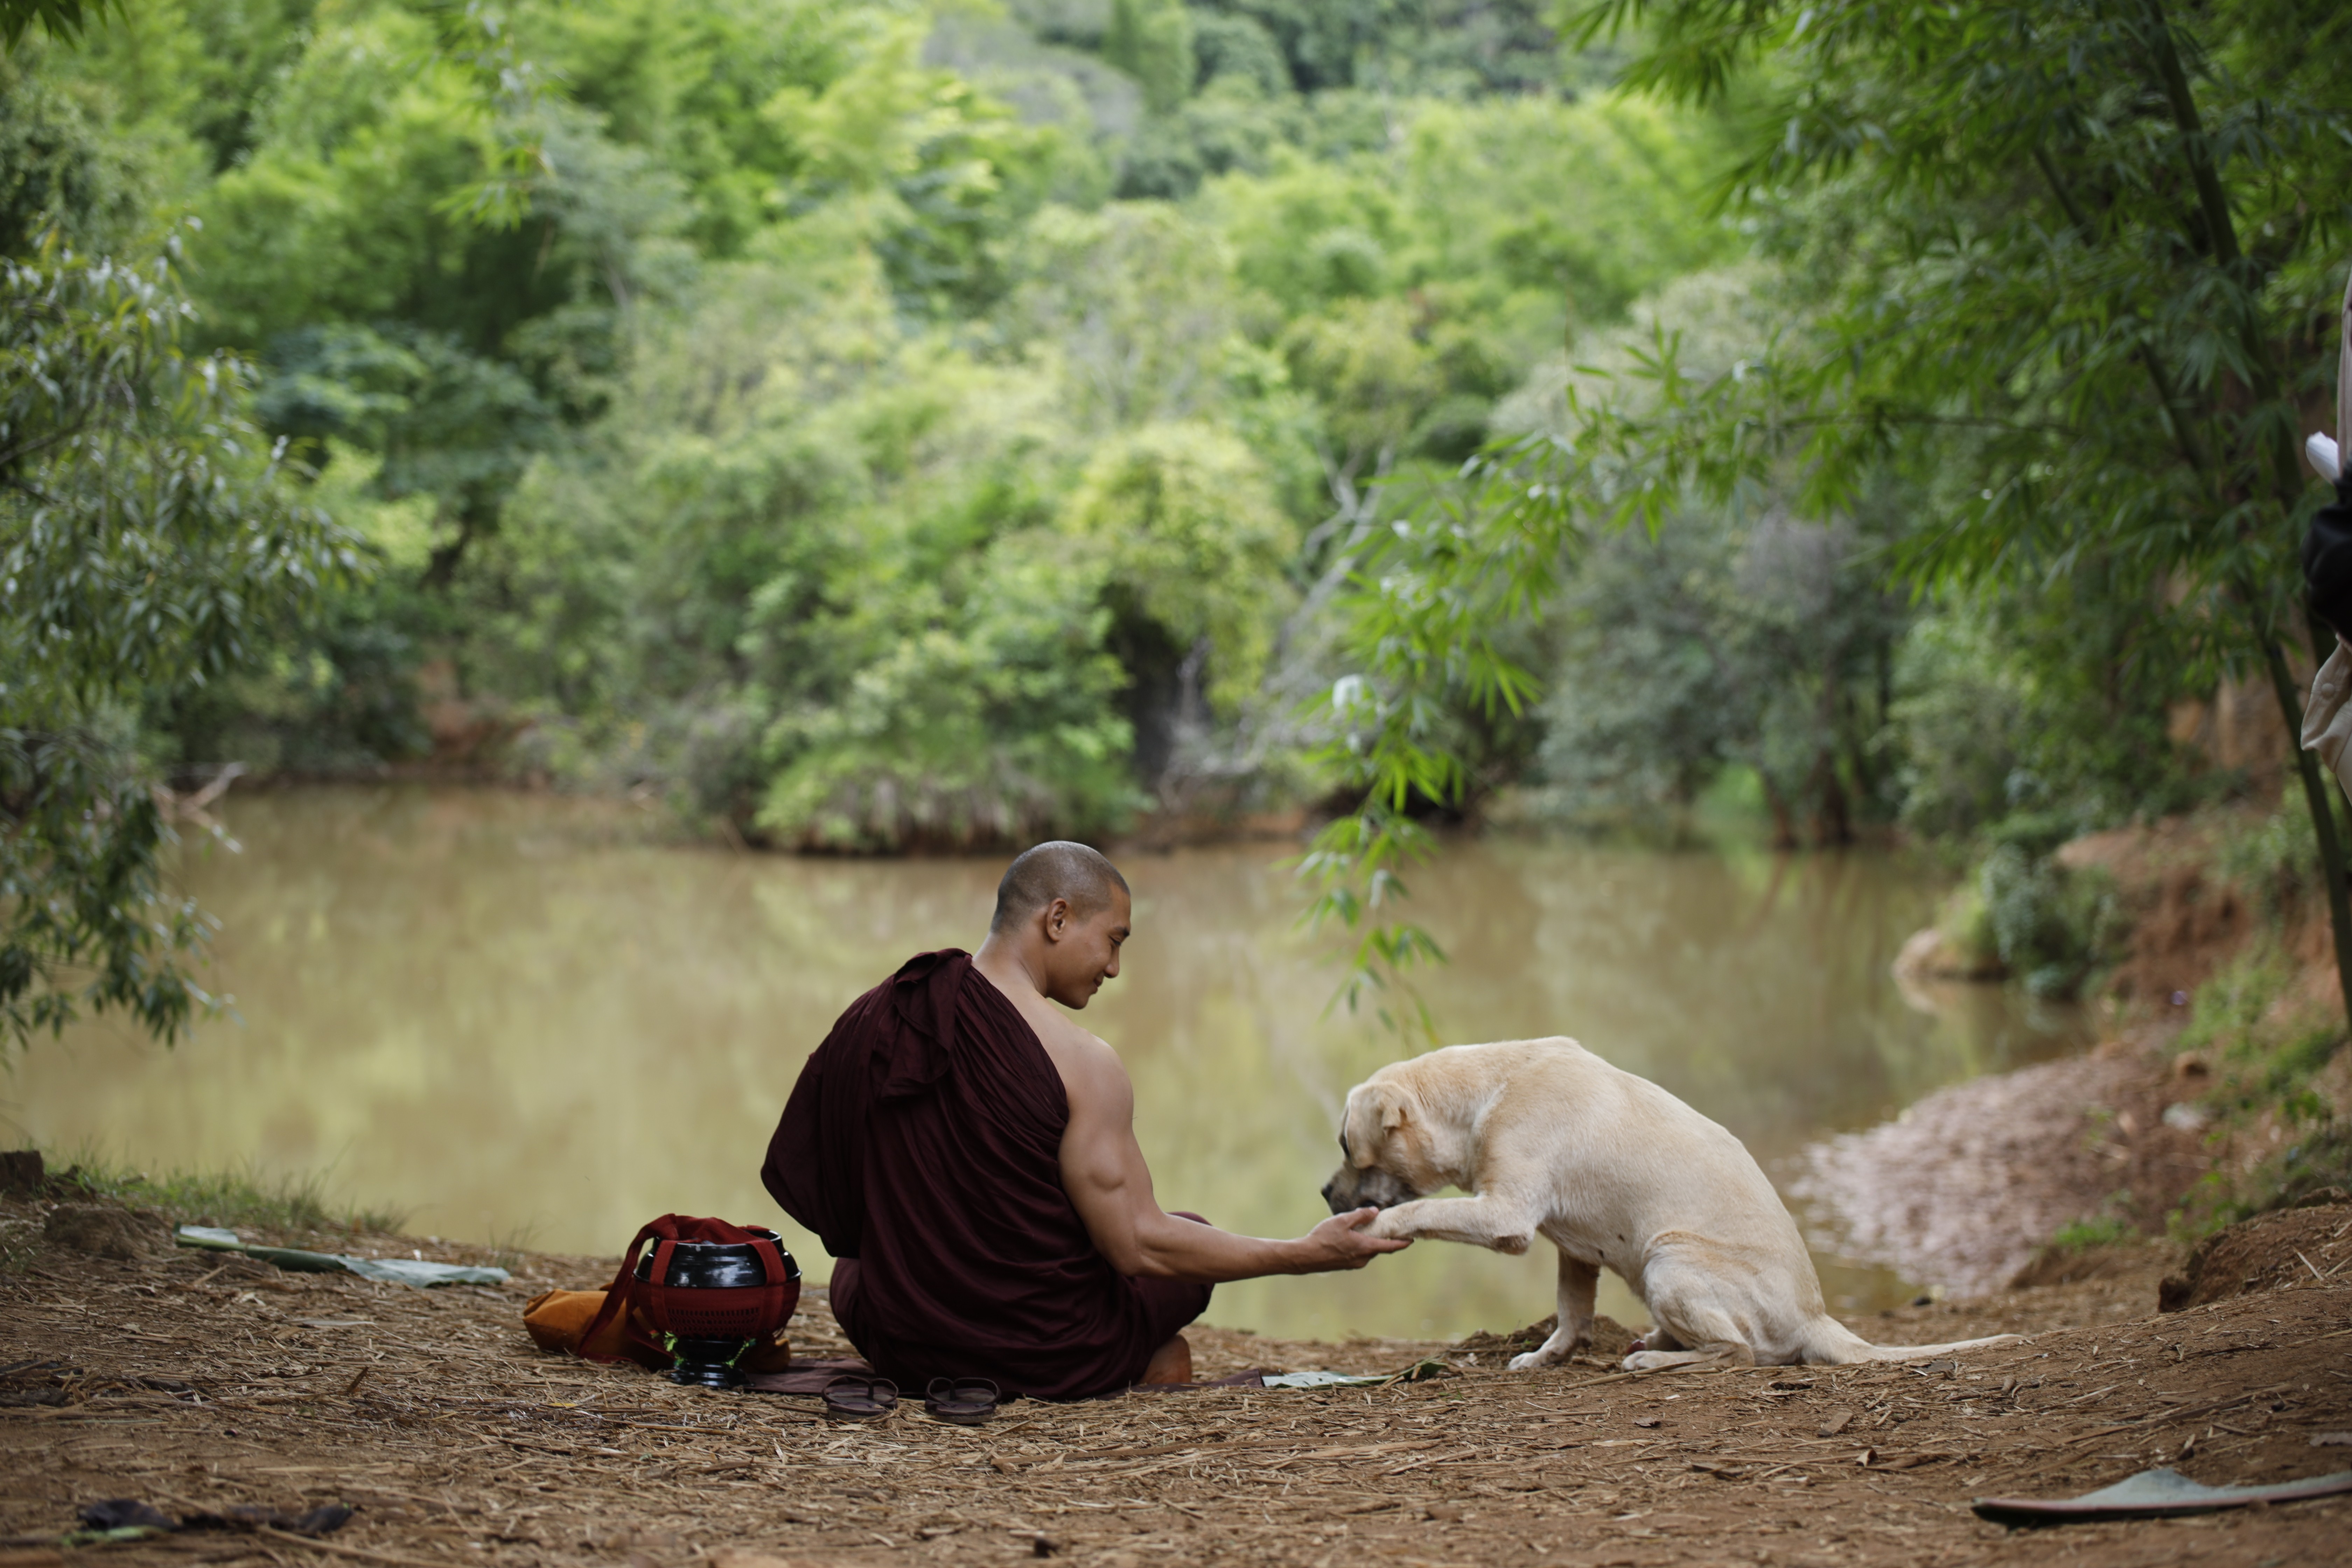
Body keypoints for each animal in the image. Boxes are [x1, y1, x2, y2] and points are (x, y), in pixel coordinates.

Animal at [1326, 1034, 2023, 1363]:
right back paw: (1656, 1346)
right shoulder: (1573, 1253)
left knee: (1739, 1354)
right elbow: (1571, 1316)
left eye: (1345, 1143)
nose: (1325, 1192)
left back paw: (1656, 1362)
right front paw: (1547, 1359)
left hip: (1670, 1260)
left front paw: (1383, 1224)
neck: (1487, 1093)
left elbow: (1423, 1209)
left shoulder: (1506, 1217)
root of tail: (1816, 1318)